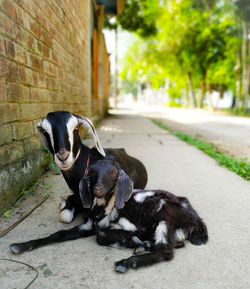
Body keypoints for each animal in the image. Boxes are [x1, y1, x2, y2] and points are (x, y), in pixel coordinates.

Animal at [9, 159, 208, 272]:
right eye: (92, 173)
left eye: (113, 174)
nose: (97, 188)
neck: (105, 209)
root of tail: (194, 217)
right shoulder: (87, 225)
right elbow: (58, 234)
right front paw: (21, 245)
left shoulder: (131, 226)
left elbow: (102, 235)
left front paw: (129, 242)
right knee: (176, 244)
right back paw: (144, 245)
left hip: (165, 218)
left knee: (166, 251)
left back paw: (128, 262)